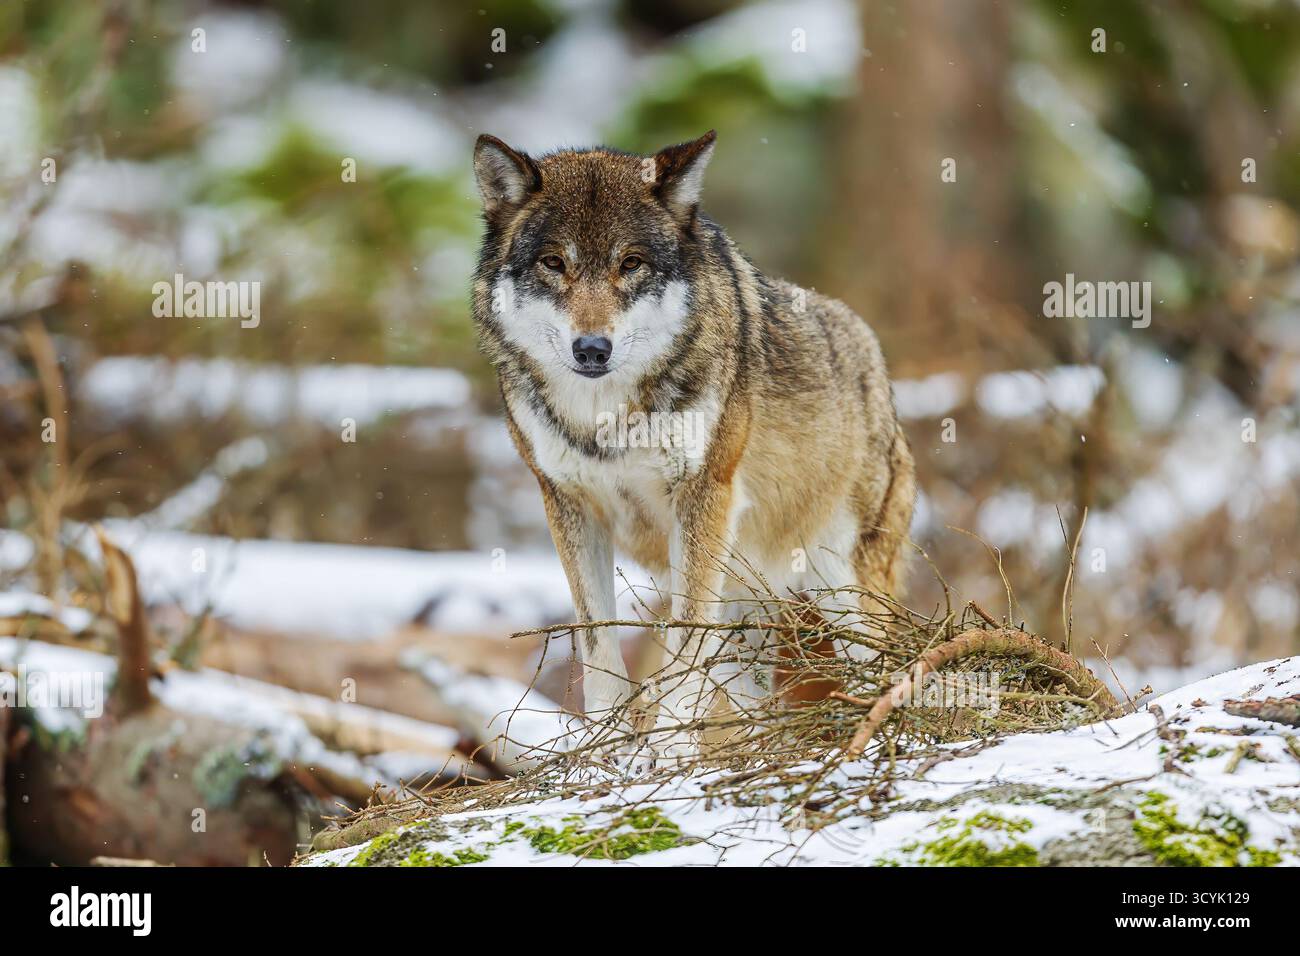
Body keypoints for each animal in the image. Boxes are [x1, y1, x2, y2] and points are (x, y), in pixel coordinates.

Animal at [471, 131, 915, 759]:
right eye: (553, 263)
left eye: (631, 263)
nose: (592, 349)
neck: (606, 418)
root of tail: (874, 358)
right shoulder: (568, 507)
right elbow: (598, 647)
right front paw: (603, 760)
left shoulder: (704, 496)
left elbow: (683, 645)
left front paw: (671, 752)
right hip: (743, 601)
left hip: (842, 590)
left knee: (882, 666)